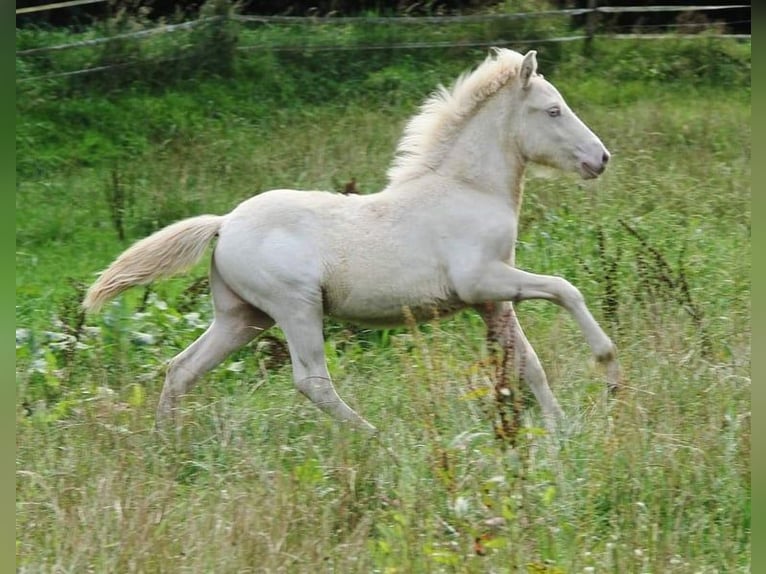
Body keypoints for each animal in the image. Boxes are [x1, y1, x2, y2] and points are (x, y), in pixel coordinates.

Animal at [83, 49, 620, 434]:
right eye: (553, 110)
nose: (601, 158)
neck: (468, 188)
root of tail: (225, 222)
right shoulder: (482, 281)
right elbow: (565, 289)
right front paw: (608, 368)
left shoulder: (492, 299)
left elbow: (528, 362)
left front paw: (562, 428)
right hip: (296, 308)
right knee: (311, 381)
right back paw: (377, 437)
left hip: (242, 317)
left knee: (181, 369)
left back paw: (166, 445)